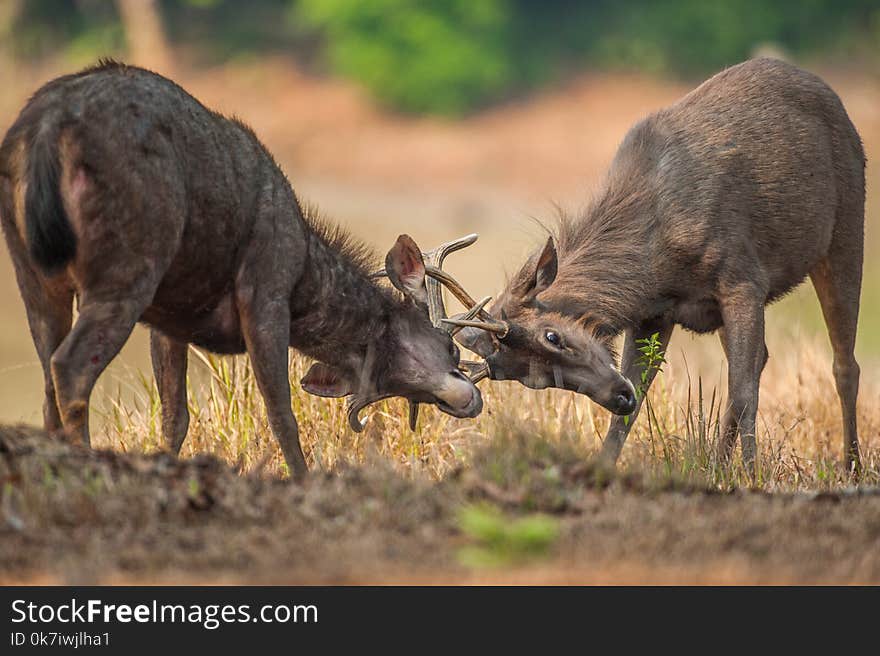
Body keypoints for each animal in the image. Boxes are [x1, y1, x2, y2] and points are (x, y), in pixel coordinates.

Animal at [0, 60, 488, 476]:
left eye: (393, 389)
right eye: (450, 348)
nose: (470, 400)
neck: (306, 278)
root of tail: (45, 131)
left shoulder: (171, 315)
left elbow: (175, 415)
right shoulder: (265, 288)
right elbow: (281, 412)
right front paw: (301, 477)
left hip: (34, 273)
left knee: (47, 380)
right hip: (131, 260)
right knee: (70, 366)